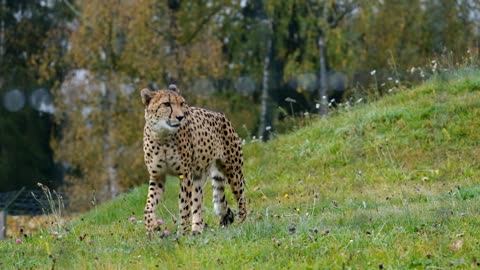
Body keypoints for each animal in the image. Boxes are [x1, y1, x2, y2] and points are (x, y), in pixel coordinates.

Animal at [138, 85, 244, 236]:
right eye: (166, 104)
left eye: (182, 103)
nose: (180, 117)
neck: (163, 136)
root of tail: (220, 115)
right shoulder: (157, 176)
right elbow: (149, 205)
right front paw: (151, 226)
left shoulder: (185, 175)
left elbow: (184, 206)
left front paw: (182, 233)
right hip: (199, 177)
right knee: (198, 202)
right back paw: (196, 230)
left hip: (233, 170)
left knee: (242, 196)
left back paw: (242, 223)